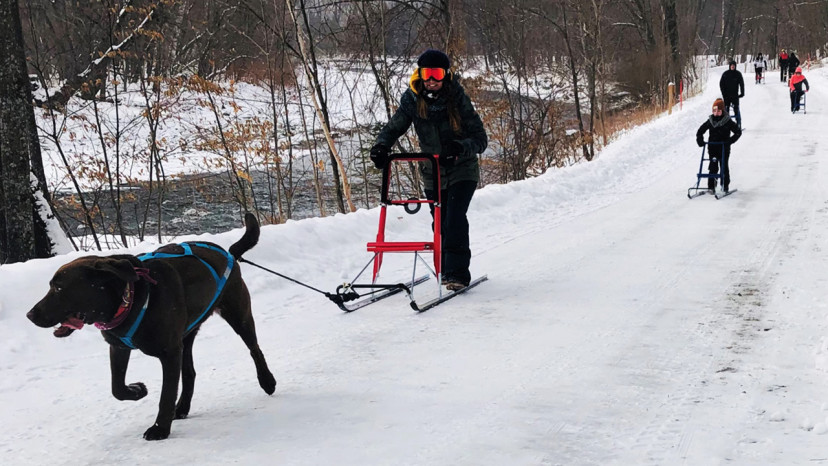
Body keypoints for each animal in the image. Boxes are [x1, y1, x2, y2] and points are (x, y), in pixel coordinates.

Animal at [26, 213, 274, 438]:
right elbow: (117, 388)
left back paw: (267, 381)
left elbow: (166, 394)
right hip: (186, 336)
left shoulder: (169, 352)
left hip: (238, 314)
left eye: (59, 288)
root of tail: (228, 253)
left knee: (255, 349)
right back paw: (182, 408)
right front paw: (137, 390)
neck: (130, 299)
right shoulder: (119, 347)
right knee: (190, 373)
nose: (30, 314)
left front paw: (160, 429)